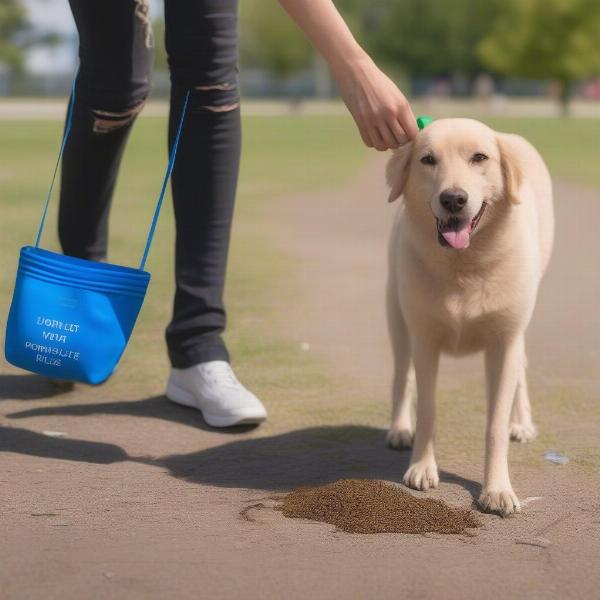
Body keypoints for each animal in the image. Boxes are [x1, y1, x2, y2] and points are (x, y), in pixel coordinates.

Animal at [384, 118, 552, 516]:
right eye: (428, 159)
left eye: (480, 157)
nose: (453, 199)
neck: (465, 265)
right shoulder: (424, 338)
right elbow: (427, 409)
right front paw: (422, 468)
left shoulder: (505, 341)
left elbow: (495, 424)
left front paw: (497, 489)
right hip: (397, 316)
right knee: (401, 374)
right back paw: (399, 428)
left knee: (522, 371)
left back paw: (522, 423)